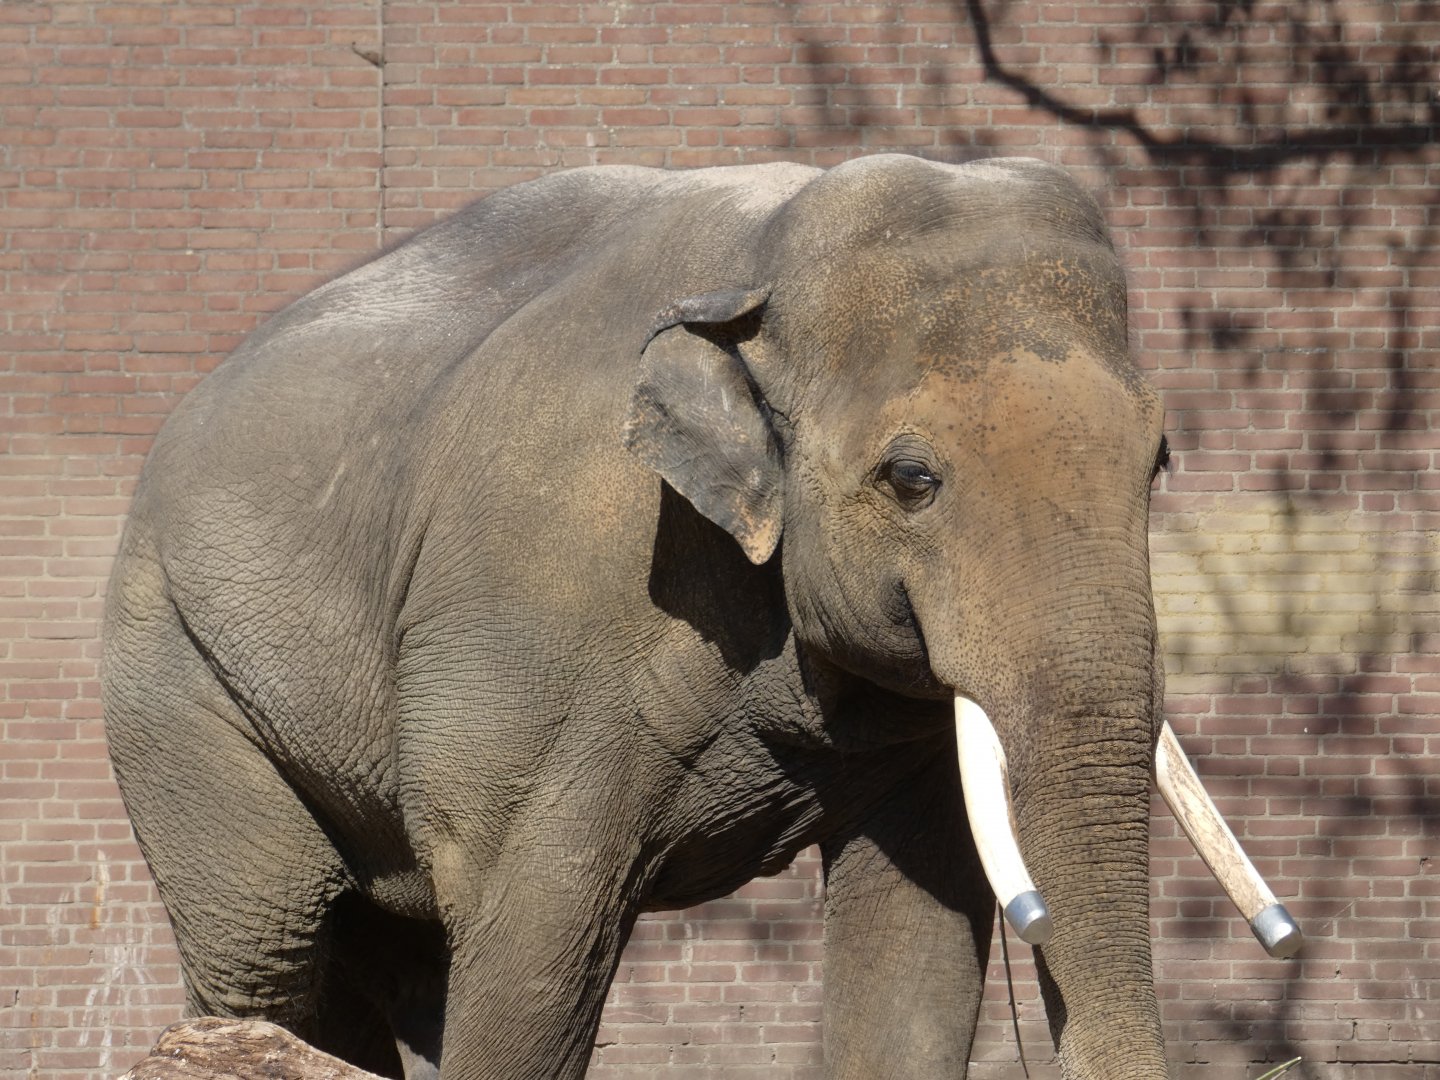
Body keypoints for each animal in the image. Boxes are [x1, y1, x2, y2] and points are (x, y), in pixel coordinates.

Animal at [104, 154, 1295, 1080]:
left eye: (1159, 459)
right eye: (911, 478)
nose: (1284, 938)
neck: (765, 252)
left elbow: (915, 939)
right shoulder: (533, 619)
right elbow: (532, 941)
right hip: (178, 685)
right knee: (272, 937)